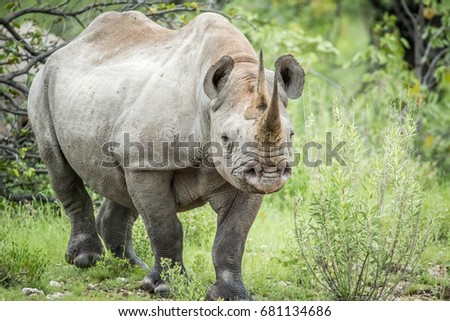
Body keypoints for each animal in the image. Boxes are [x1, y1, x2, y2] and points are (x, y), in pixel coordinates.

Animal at [27, 10, 302, 300]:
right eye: (226, 138)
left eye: (291, 134)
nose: (269, 173)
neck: (206, 105)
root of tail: (68, 46)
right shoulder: (148, 164)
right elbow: (164, 225)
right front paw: (164, 287)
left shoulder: (242, 176)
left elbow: (233, 235)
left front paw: (230, 296)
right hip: (43, 84)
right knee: (58, 166)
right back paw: (86, 260)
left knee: (120, 184)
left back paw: (131, 266)